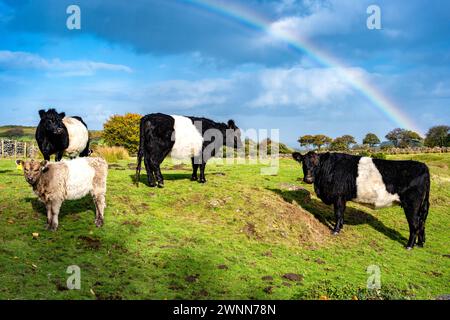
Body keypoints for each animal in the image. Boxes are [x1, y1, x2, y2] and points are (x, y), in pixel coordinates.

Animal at [294, 152, 430, 250]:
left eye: (317, 164)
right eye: (303, 163)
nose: (308, 179)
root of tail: (423, 166)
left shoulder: (338, 196)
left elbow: (338, 214)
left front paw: (335, 231)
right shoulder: (343, 198)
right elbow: (342, 214)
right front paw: (341, 227)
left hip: (412, 204)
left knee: (415, 224)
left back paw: (409, 246)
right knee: (422, 222)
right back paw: (420, 243)